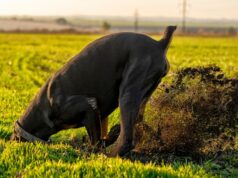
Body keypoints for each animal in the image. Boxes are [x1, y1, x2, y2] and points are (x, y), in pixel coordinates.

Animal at [11, 25, 177, 156]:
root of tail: (159, 44)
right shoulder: (100, 114)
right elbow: (101, 135)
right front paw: (109, 136)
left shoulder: (88, 106)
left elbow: (95, 141)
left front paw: (92, 152)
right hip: (143, 94)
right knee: (136, 122)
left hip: (128, 93)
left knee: (127, 139)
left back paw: (111, 155)